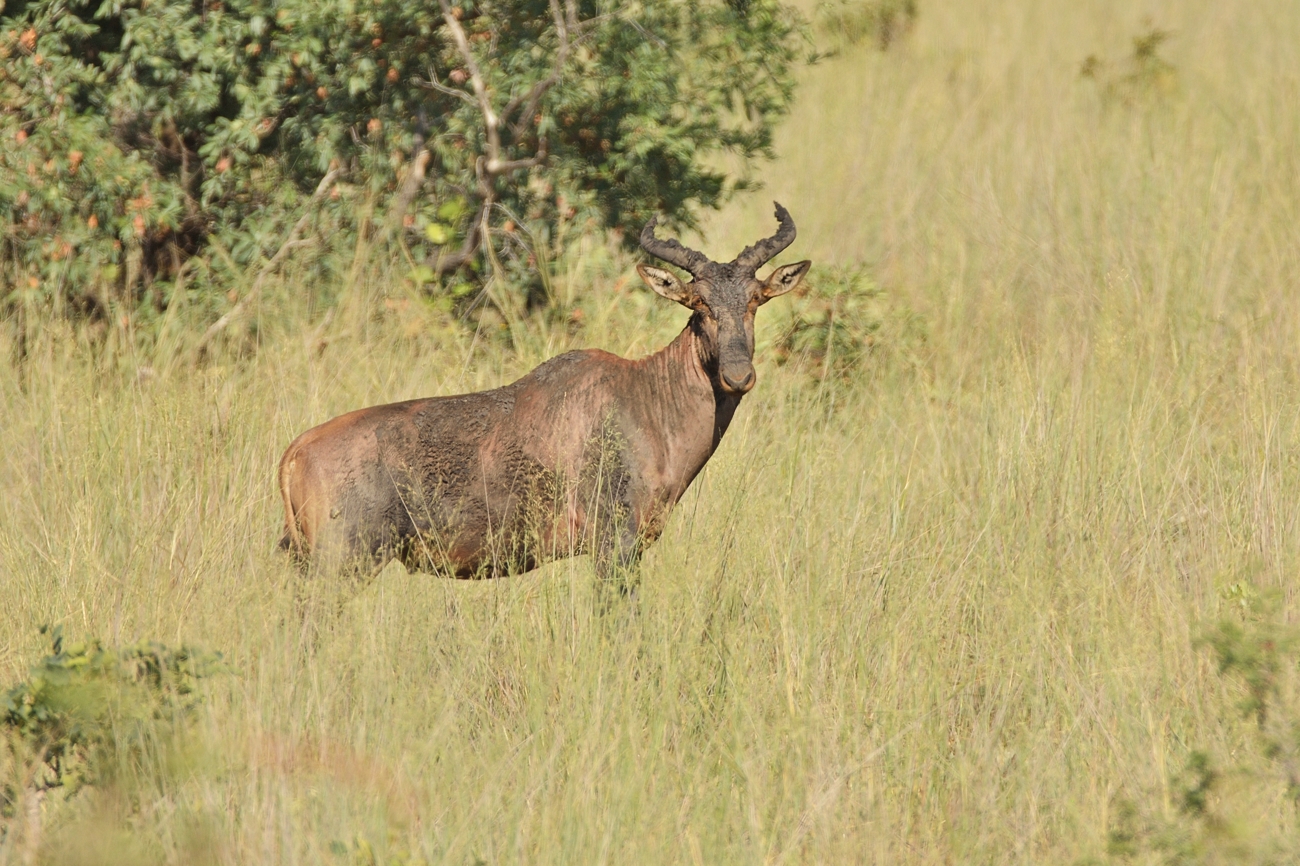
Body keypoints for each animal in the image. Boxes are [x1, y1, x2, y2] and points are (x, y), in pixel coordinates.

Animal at [278, 200, 806, 587]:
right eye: (698, 304)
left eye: (756, 299)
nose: (738, 376)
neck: (642, 396)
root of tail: (295, 452)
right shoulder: (614, 548)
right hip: (343, 566)